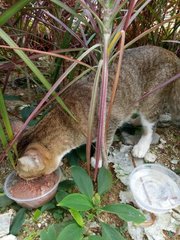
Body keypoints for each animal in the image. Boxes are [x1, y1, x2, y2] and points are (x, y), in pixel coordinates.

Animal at [16, 46, 179, 179]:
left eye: (23, 175)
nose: (19, 176)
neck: (68, 118)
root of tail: (171, 54)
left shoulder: (107, 122)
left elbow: (104, 142)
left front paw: (98, 159)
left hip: (152, 99)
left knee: (150, 125)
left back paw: (142, 145)